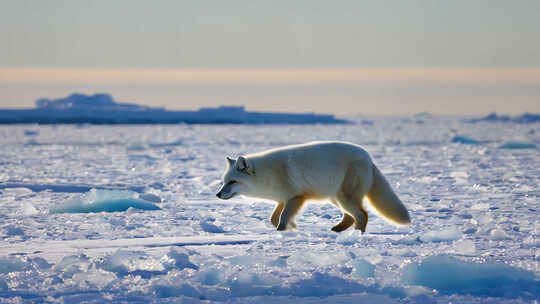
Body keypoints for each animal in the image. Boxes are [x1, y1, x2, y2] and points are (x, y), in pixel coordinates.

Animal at [215, 141, 410, 232]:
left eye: (232, 182)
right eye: (224, 182)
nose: (217, 195)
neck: (268, 174)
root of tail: (369, 159)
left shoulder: (296, 197)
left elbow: (282, 218)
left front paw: (282, 231)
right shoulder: (284, 198)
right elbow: (274, 217)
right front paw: (292, 228)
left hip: (344, 197)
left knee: (362, 215)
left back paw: (356, 235)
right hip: (335, 198)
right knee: (351, 216)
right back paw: (337, 230)